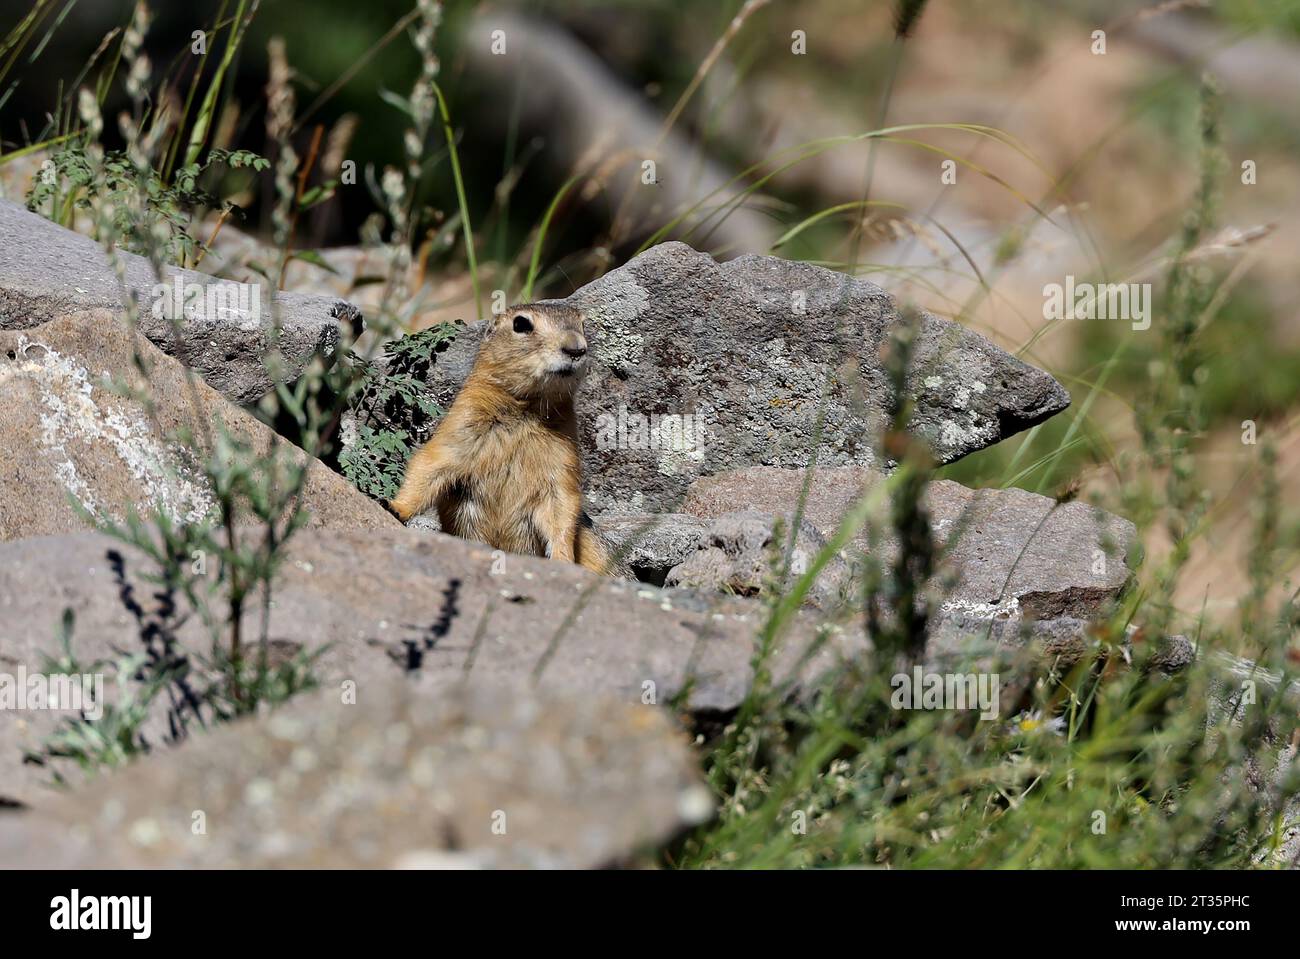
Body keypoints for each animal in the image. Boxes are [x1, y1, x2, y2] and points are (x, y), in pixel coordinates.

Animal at [384, 306, 618, 571]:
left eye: (583, 325)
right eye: (521, 324)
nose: (577, 349)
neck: (525, 408)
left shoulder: (562, 459)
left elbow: (562, 508)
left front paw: (562, 558)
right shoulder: (459, 428)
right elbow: (427, 467)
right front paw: (394, 506)